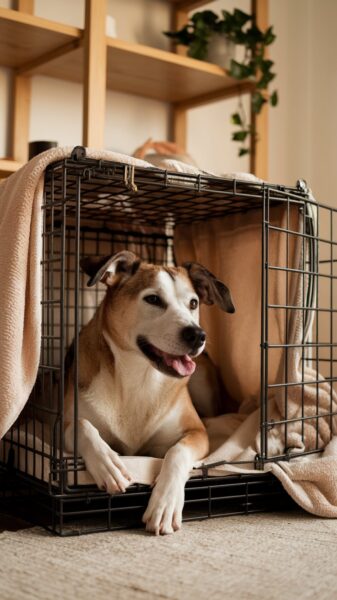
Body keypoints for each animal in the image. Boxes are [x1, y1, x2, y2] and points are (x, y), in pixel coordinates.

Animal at [64, 248, 235, 536]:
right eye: (153, 299)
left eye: (193, 303)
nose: (197, 335)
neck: (139, 376)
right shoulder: (60, 424)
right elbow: (81, 424)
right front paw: (108, 464)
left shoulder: (197, 432)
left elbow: (176, 452)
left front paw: (165, 504)